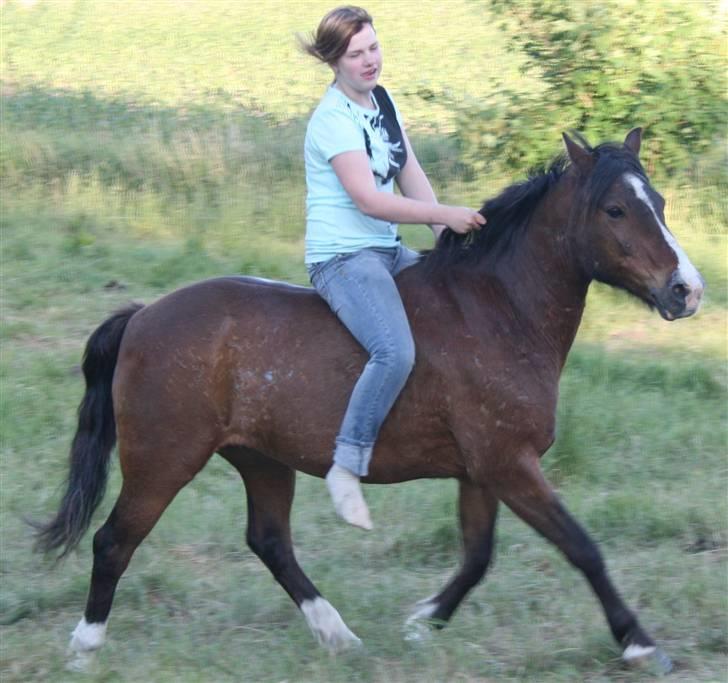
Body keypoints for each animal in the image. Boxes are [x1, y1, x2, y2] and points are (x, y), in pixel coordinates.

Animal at [35, 129, 703, 672]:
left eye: (661, 204)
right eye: (615, 209)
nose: (687, 290)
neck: (499, 309)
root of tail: (142, 316)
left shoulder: (482, 472)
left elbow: (478, 556)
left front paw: (422, 623)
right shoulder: (509, 464)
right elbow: (582, 548)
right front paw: (640, 644)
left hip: (263, 460)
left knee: (269, 542)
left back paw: (339, 637)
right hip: (163, 461)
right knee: (113, 542)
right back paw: (85, 647)